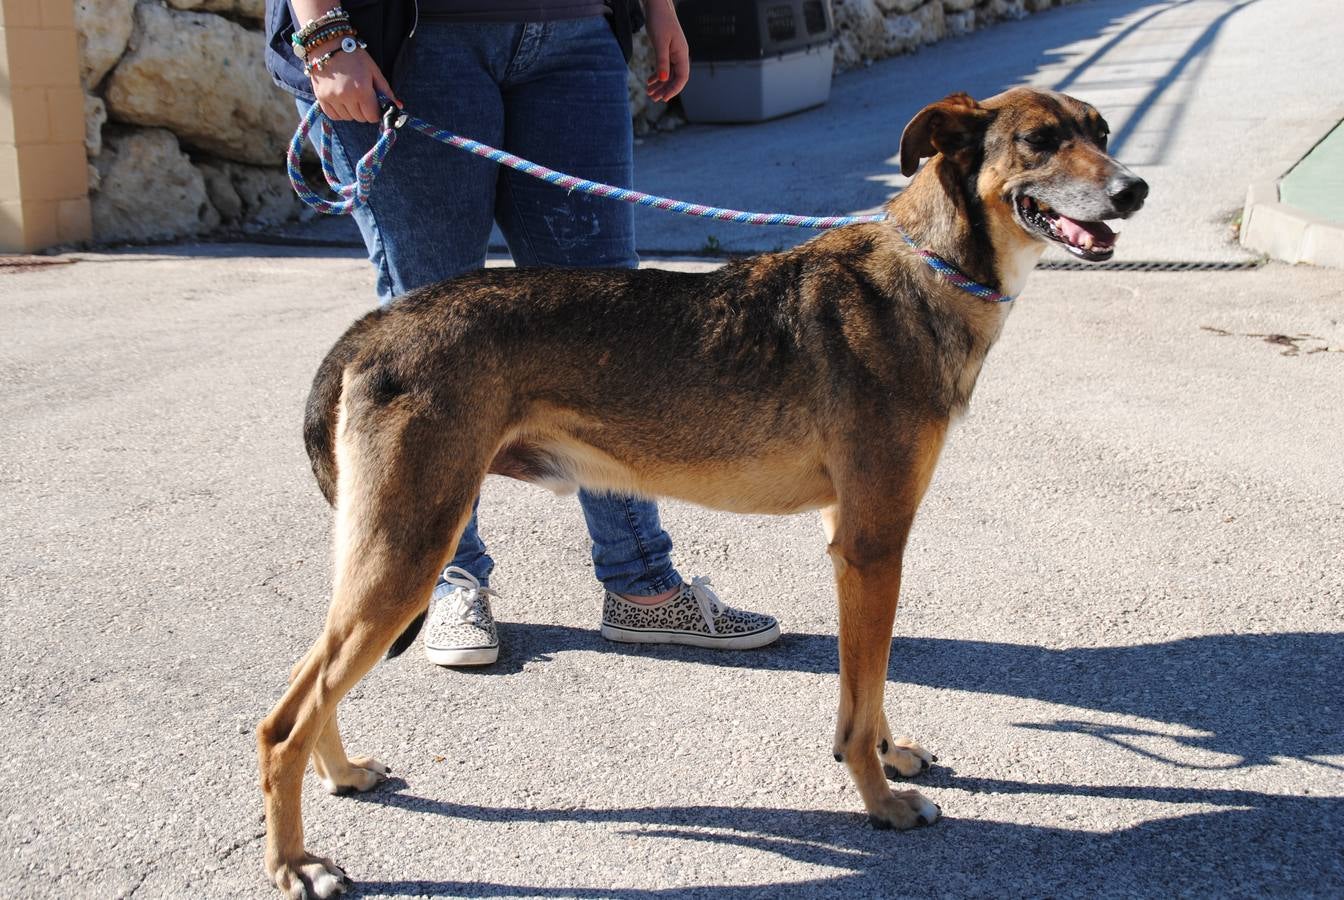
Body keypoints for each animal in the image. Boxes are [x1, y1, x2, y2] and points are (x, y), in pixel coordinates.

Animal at [259, 87, 1145, 897]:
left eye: (1100, 132)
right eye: (1039, 140)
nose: (1134, 189)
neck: (928, 268)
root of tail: (379, 324)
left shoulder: (856, 545)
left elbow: (869, 685)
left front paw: (892, 757)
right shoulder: (873, 544)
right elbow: (861, 699)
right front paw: (881, 800)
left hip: (384, 560)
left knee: (308, 690)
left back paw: (343, 775)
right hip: (411, 553)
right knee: (281, 725)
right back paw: (297, 863)